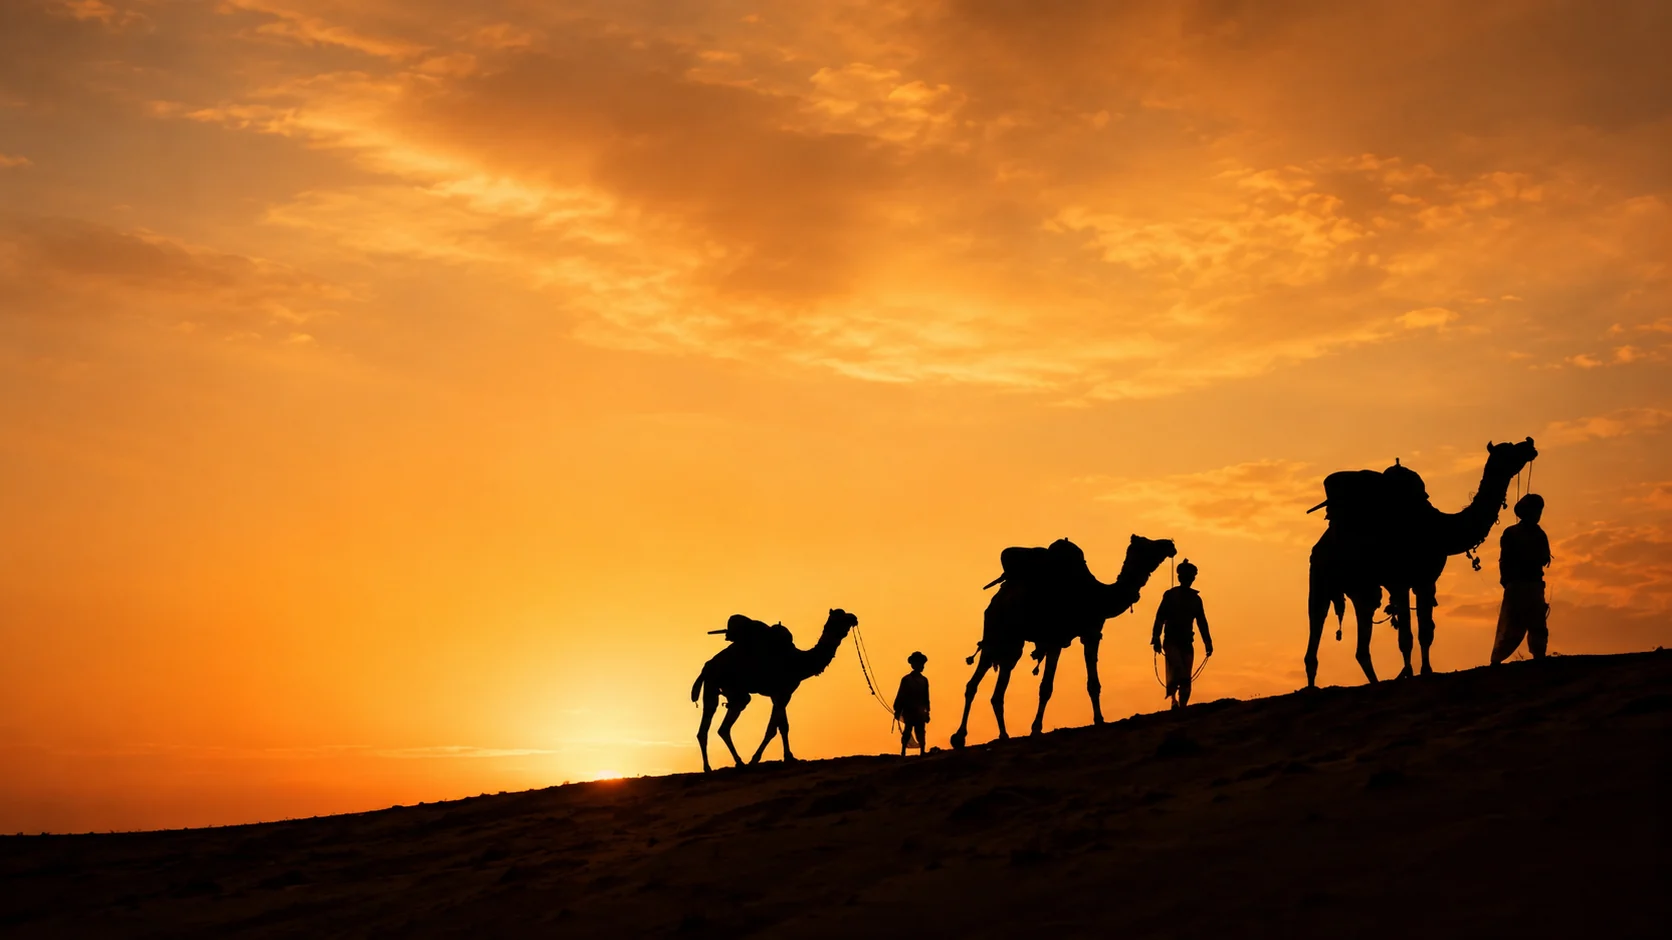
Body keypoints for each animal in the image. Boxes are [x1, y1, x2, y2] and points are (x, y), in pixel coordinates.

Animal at [691, 608, 859, 771]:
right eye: (840, 617)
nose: (854, 618)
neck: (799, 662)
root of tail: (706, 667)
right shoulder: (781, 692)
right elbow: (773, 729)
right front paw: (756, 759)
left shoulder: (782, 693)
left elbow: (783, 726)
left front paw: (790, 757)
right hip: (716, 686)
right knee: (712, 726)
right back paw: (712, 767)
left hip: (728, 691)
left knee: (720, 728)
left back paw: (735, 763)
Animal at [950, 535, 1177, 749]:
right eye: (1148, 544)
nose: (1170, 544)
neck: (1097, 595)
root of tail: (995, 601)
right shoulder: (1055, 640)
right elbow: (1046, 687)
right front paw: (1036, 728)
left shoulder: (1091, 633)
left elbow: (1093, 683)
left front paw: (1099, 720)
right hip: (995, 634)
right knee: (974, 683)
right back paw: (960, 737)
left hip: (1013, 645)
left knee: (997, 689)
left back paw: (1002, 735)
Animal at [1305, 438, 1538, 687]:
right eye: (1508, 451)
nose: (1529, 444)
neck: (1439, 528)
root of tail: (1320, 545)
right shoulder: (1399, 581)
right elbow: (1405, 637)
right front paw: (1408, 673)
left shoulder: (1426, 580)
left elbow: (1426, 632)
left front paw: (1425, 671)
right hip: (1320, 578)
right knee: (1316, 624)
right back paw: (1312, 686)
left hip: (1363, 589)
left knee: (1361, 646)